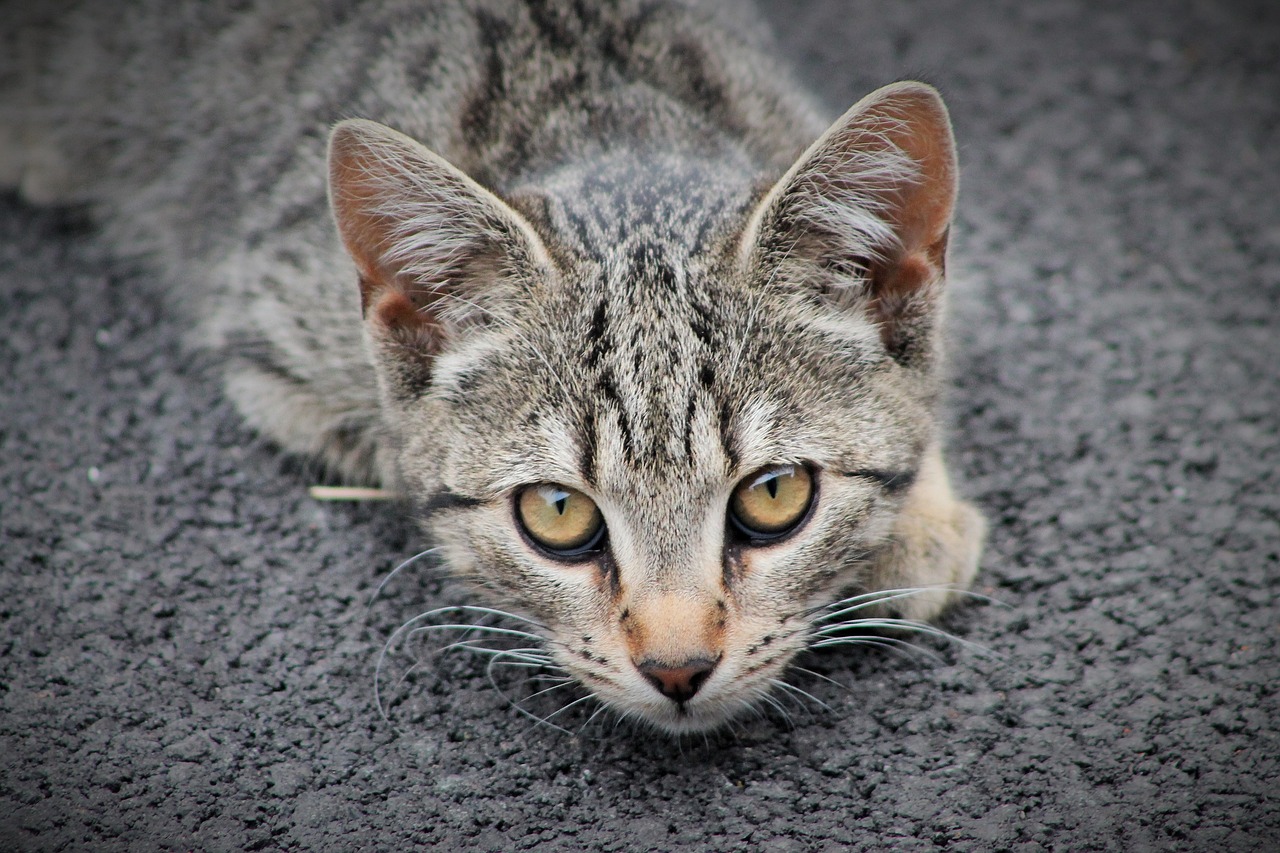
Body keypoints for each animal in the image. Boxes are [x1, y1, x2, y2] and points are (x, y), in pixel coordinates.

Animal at [0, 0, 988, 732]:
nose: (677, 668)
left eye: (775, 494)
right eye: (557, 512)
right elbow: (400, 449)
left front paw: (919, 512)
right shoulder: (269, 337)